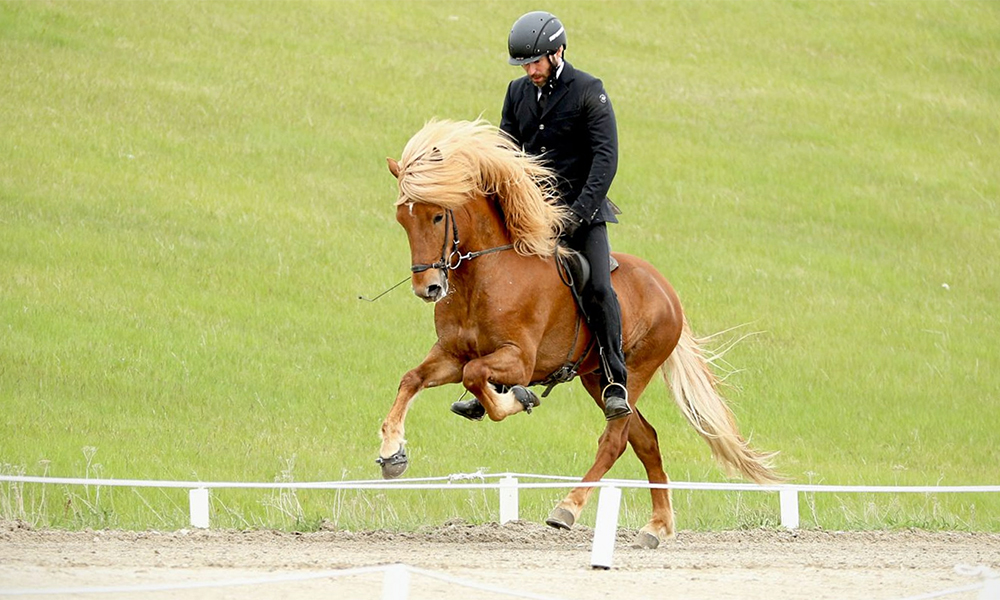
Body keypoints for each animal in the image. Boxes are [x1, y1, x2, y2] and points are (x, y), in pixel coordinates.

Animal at [378, 117, 776, 548]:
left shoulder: (518, 360)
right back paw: (656, 527)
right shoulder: (451, 354)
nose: (428, 288)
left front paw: (519, 399)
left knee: (615, 441)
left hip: (634, 370)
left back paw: (567, 508)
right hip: (596, 378)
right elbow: (412, 379)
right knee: (645, 438)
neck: (486, 274)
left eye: (437, 216)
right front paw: (392, 453)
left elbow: (477, 377)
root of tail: (666, 290)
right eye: (403, 219)